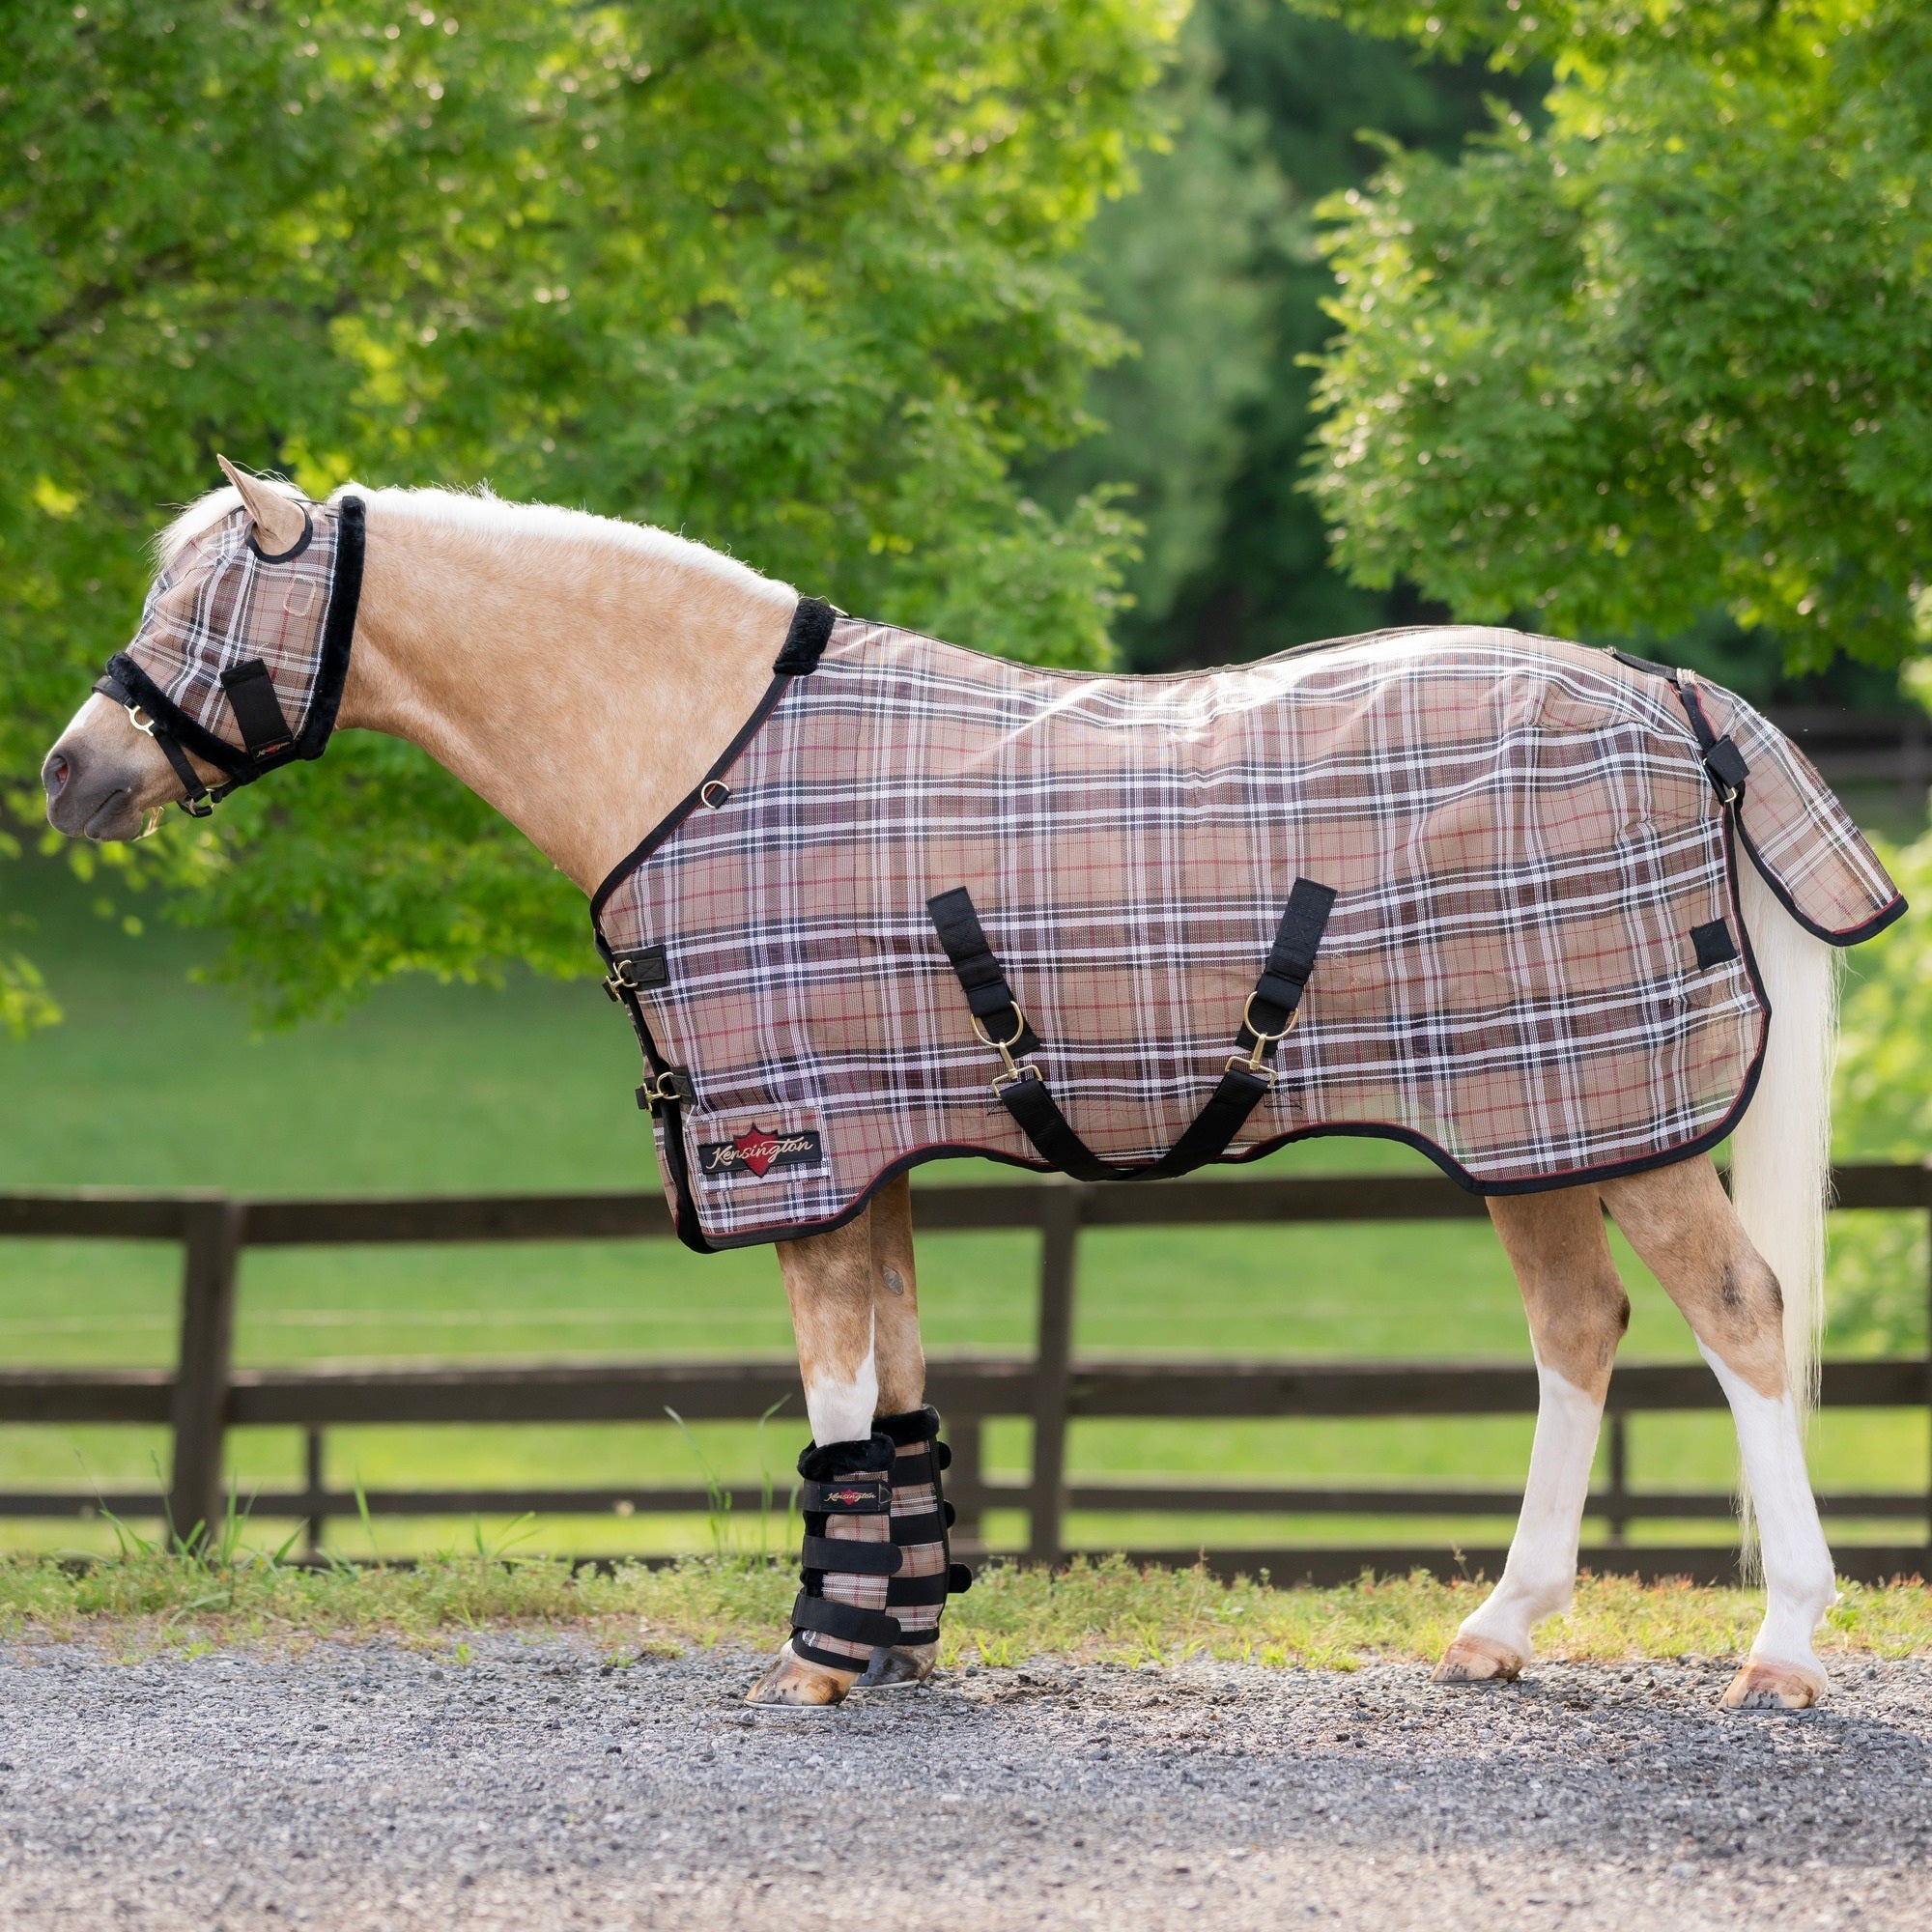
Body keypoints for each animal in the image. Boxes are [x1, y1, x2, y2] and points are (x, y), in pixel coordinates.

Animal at [41, 461, 1901, 1712]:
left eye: (201, 614)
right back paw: (1501, 1629)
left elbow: (833, 1403)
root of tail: (1669, 695)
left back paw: (1783, 1646)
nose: (70, 775)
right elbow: (901, 1397)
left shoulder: (792, 1149)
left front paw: (820, 1658)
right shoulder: (871, 1155)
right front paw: (899, 1636)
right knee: (1581, 1334)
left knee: (1742, 1317)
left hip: (1617, 1128)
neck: (701, 759)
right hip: (1535, 1128)